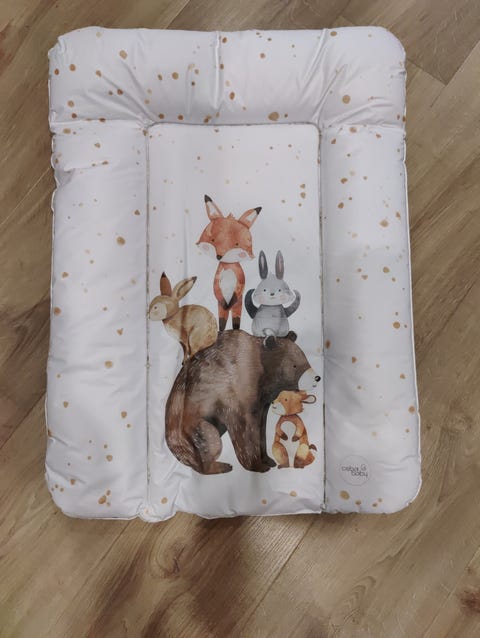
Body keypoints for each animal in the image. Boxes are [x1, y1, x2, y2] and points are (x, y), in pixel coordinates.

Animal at [165, 329, 320, 474]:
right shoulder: (234, 391)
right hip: (191, 427)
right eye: (294, 365)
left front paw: (268, 459)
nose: (316, 378)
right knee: (210, 440)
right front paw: (257, 465)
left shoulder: (262, 401)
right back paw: (221, 466)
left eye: (305, 358)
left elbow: (261, 426)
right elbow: (243, 427)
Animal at [197, 195, 261, 331]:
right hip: (221, 308)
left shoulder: (240, 280)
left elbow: (240, 287)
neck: (228, 266)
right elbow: (216, 290)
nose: (219, 256)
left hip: (238, 306)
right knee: (222, 319)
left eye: (236, 244)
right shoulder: (217, 282)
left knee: (236, 318)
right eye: (213, 240)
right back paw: (221, 331)